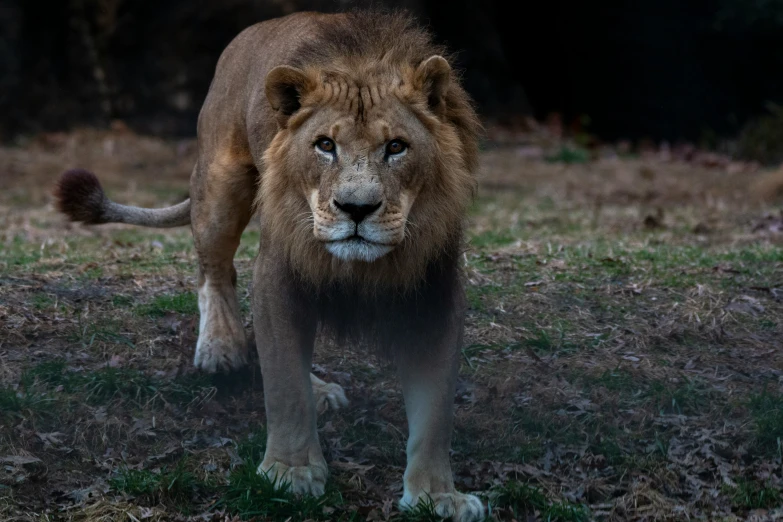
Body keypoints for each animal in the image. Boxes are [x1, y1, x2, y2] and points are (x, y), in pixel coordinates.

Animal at [55, 9, 484, 520]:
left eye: (396, 147)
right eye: (325, 145)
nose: (356, 209)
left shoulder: (436, 293)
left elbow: (435, 411)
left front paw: (437, 496)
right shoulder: (279, 273)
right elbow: (284, 385)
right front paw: (290, 472)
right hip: (219, 185)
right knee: (215, 270)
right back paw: (221, 348)